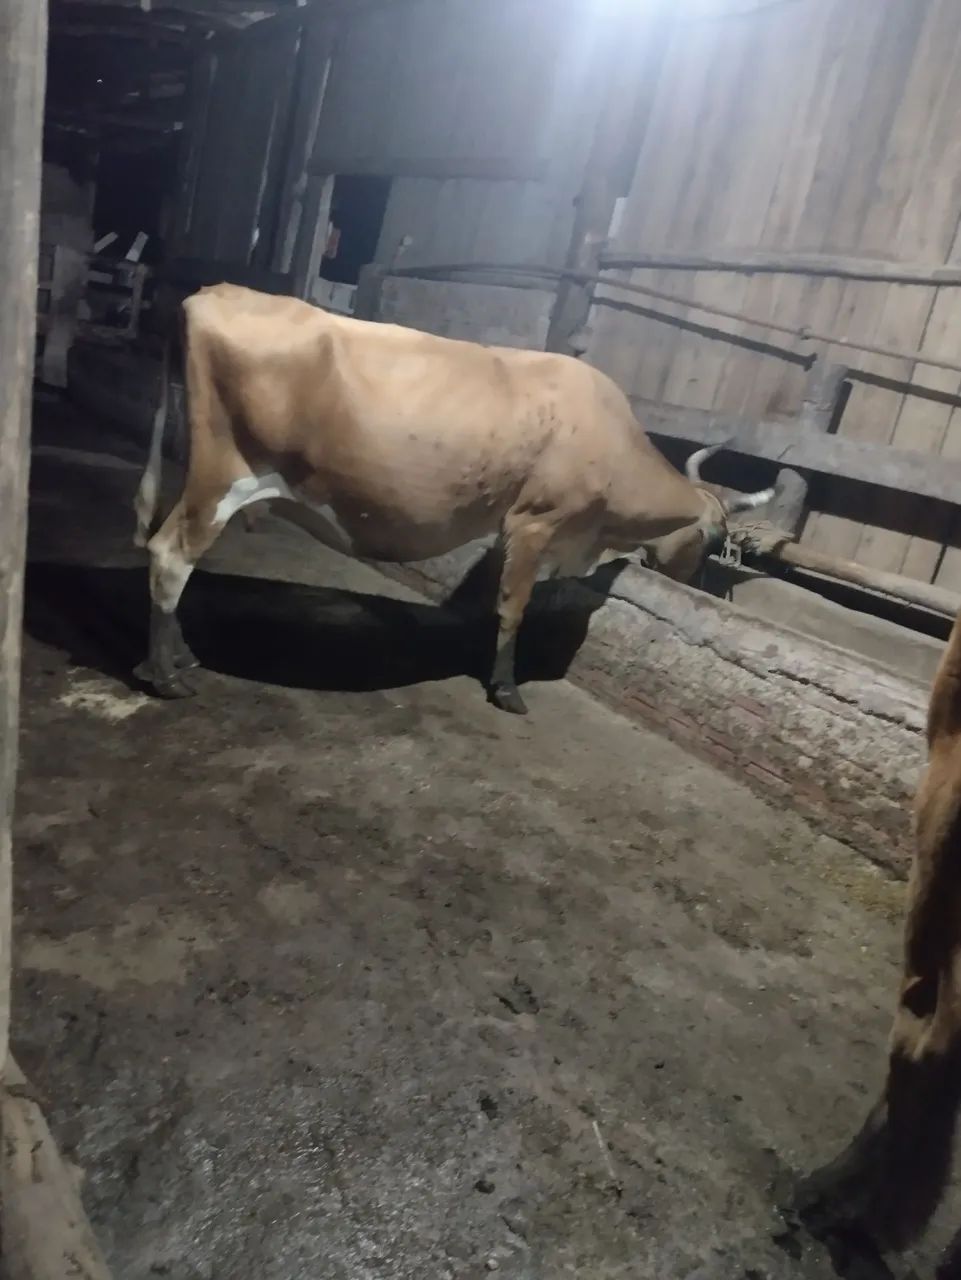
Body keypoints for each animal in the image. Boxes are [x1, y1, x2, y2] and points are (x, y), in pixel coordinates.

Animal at [133, 283, 772, 713]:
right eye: (714, 539)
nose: (691, 582)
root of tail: (208, 293)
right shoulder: (536, 521)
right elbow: (513, 607)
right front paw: (507, 687)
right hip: (222, 475)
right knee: (170, 555)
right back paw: (167, 676)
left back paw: (182, 654)